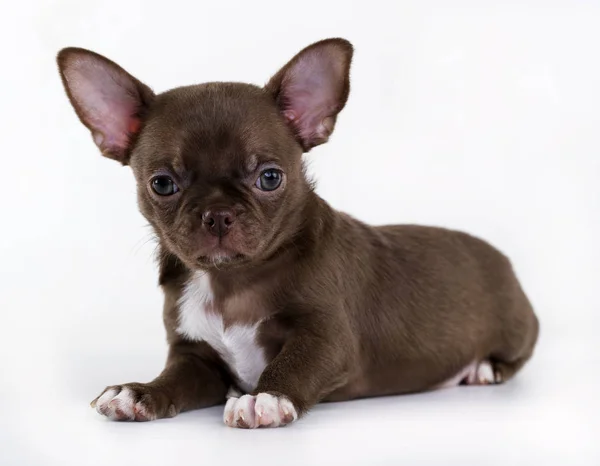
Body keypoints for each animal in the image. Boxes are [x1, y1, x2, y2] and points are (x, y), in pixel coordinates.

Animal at [56, 38, 540, 428]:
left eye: (270, 178)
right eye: (162, 184)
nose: (217, 213)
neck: (229, 281)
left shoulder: (328, 339)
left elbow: (295, 363)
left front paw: (263, 398)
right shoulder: (195, 357)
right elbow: (173, 379)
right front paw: (139, 392)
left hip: (516, 328)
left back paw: (484, 369)